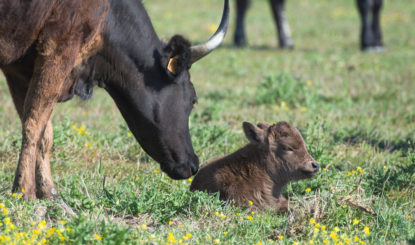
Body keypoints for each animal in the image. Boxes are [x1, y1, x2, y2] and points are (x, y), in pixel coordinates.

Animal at [0, 0, 231, 199]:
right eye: (193, 100)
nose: (193, 164)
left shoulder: (18, 69)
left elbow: (43, 131)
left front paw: (47, 190)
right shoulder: (58, 48)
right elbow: (34, 125)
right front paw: (24, 190)